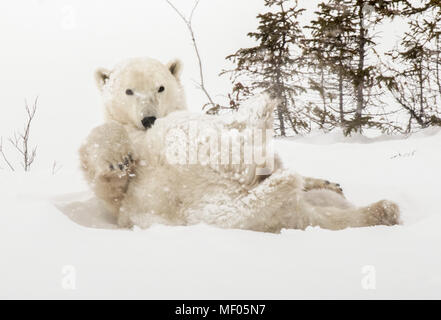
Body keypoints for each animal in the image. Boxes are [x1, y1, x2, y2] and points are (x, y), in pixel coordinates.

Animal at [78, 58, 398, 232]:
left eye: (161, 87)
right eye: (128, 91)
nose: (149, 118)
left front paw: (328, 182)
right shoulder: (126, 185)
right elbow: (106, 177)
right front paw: (117, 159)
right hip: (204, 197)